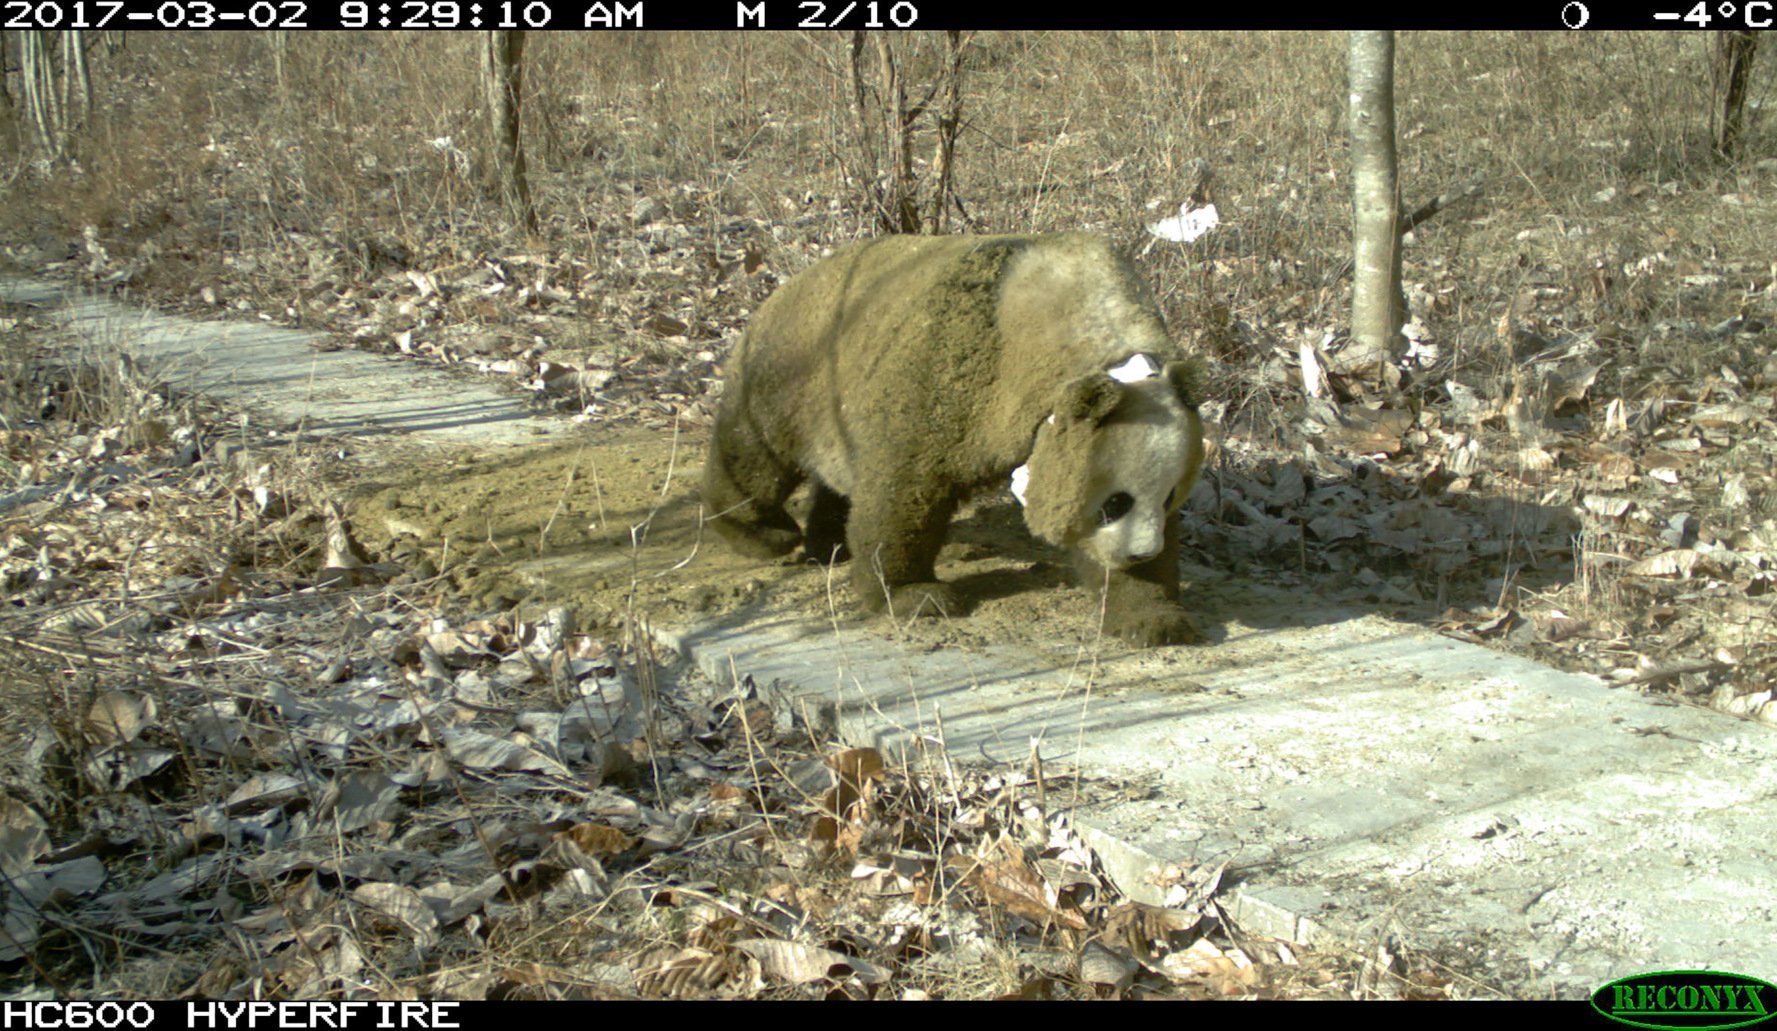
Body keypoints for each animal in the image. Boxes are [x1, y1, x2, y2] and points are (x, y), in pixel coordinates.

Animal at [701, 232, 1207, 647]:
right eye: (1114, 503)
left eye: (1169, 497)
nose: (1140, 553)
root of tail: (786, 285)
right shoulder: (956, 370)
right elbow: (903, 486)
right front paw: (914, 595)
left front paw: (1154, 616)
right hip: (791, 375)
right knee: (756, 455)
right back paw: (765, 533)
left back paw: (830, 542)